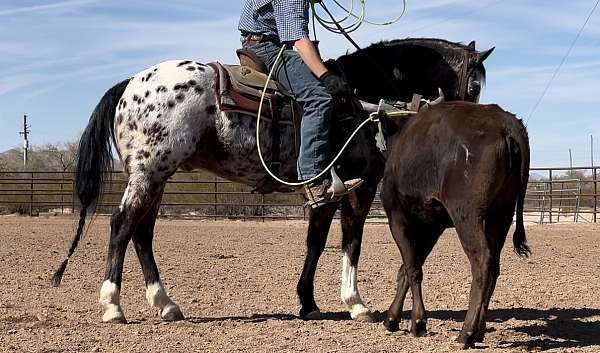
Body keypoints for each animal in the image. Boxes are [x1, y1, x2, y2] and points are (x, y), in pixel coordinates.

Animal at [50, 37, 492, 322]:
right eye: (474, 83)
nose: (466, 120)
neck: (363, 101)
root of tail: (130, 84)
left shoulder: (325, 192)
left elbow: (315, 243)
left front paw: (308, 303)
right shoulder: (360, 188)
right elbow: (351, 242)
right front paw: (356, 303)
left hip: (157, 177)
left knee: (142, 233)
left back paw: (166, 304)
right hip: (149, 173)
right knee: (122, 225)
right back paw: (113, 305)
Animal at [380, 99, 528, 346]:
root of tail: (506, 121)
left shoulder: (398, 219)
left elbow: (412, 268)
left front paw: (417, 322)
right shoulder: (432, 227)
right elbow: (407, 269)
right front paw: (393, 317)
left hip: (466, 214)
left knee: (482, 262)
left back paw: (467, 332)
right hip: (502, 213)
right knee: (494, 266)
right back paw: (479, 329)